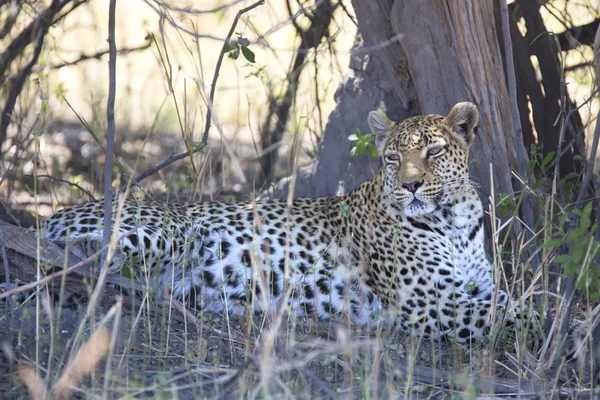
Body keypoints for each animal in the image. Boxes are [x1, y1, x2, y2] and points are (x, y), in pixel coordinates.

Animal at [44, 101, 536, 342]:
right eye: (394, 159)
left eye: (433, 152)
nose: (411, 186)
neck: (454, 221)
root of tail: (55, 212)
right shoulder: (428, 302)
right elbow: (514, 314)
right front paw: (548, 329)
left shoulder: (476, 286)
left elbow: (517, 301)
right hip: (166, 231)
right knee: (79, 261)